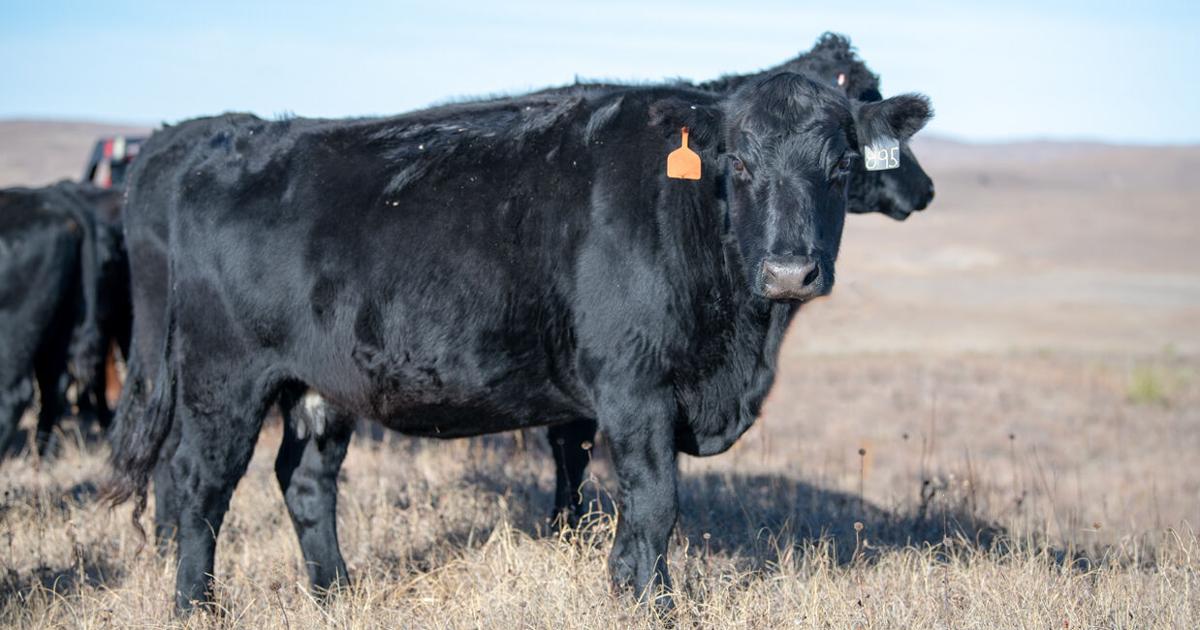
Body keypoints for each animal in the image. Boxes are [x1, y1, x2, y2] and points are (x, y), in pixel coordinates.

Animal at [105, 71, 931, 613]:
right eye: (741, 163)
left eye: (841, 165)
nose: (791, 269)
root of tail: (225, 139)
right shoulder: (634, 391)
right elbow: (653, 505)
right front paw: (650, 604)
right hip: (223, 376)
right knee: (199, 484)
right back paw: (196, 606)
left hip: (321, 383)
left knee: (305, 480)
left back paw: (335, 594)